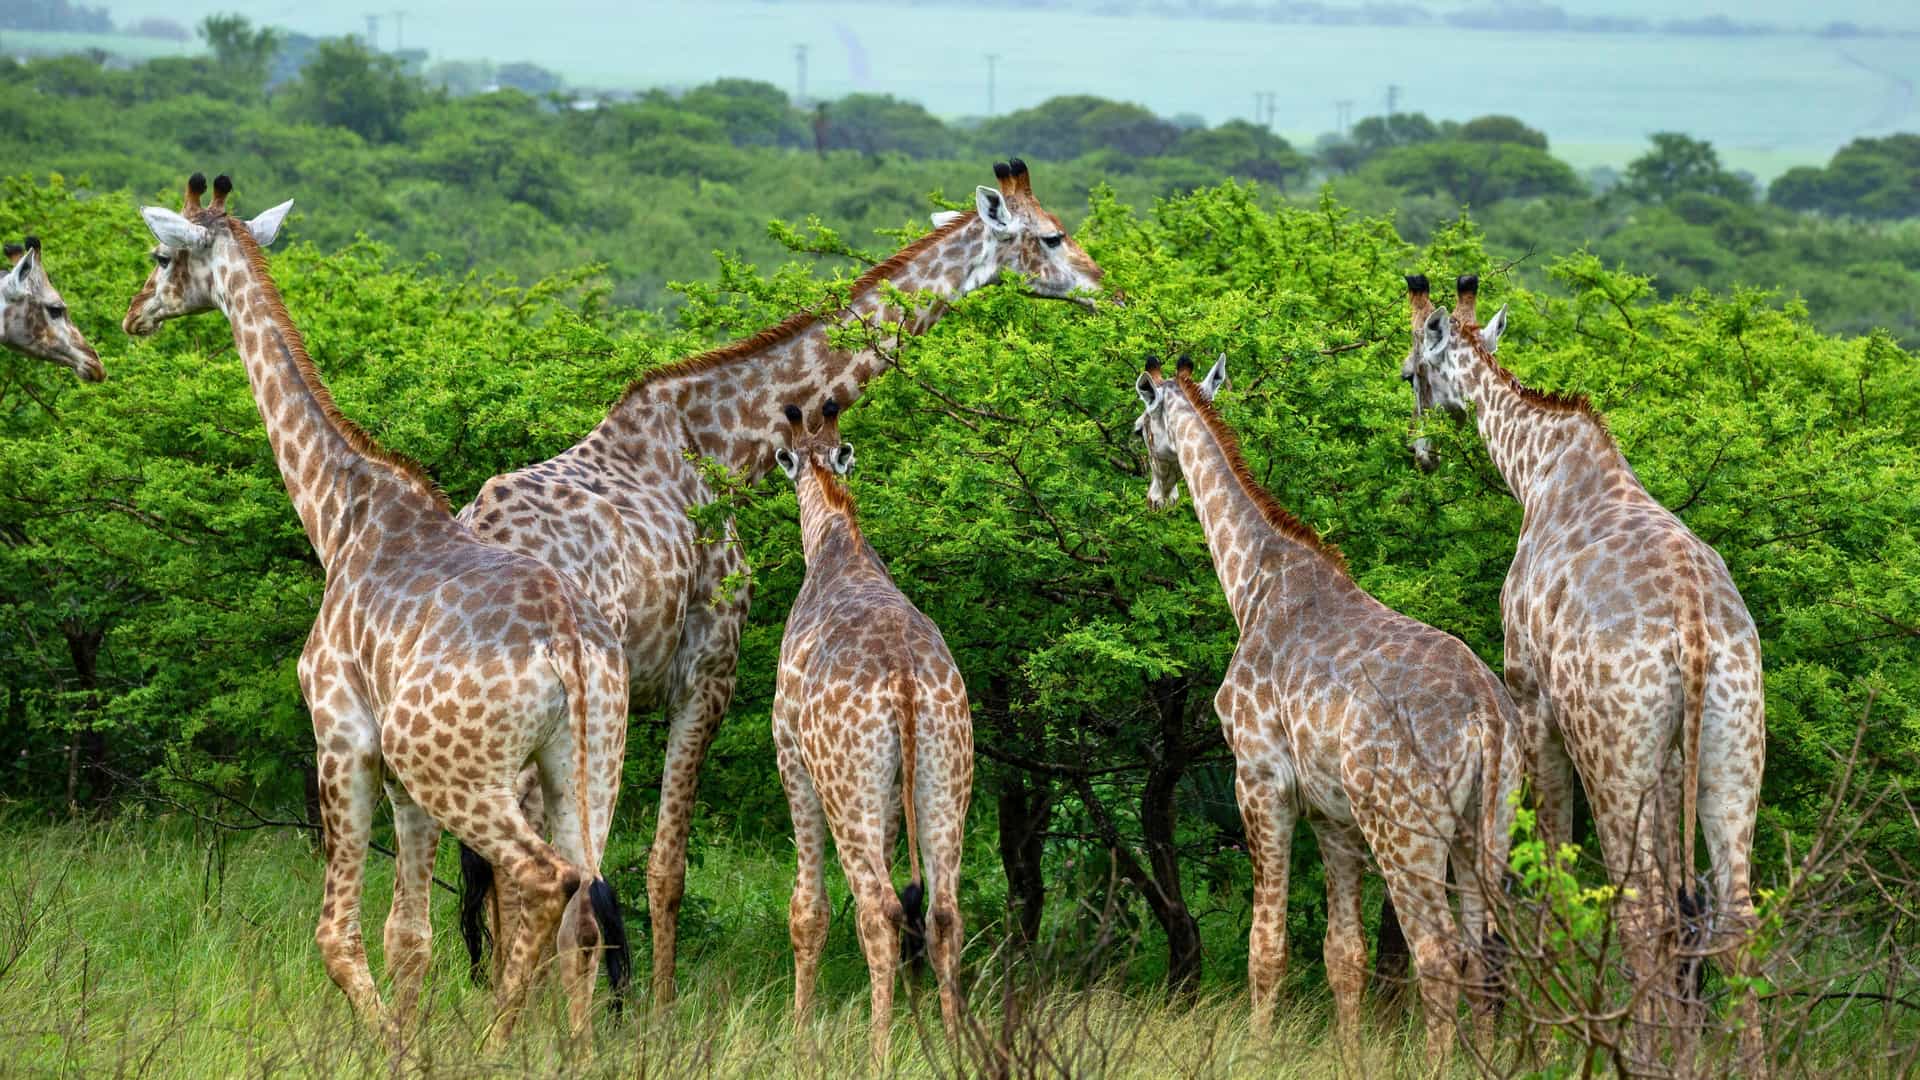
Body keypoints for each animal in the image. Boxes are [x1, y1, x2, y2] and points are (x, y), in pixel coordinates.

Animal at [121, 173, 632, 1046]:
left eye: (160, 256)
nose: (132, 315)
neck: (338, 516)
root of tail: (569, 645)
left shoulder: (345, 738)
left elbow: (336, 933)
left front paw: (392, 1043)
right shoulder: (403, 782)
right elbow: (410, 936)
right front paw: (409, 1039)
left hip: (458, 767)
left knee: (543, 880)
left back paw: (494, 1045)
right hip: (589, 763)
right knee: (586, 903)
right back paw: (575, 1049)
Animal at [771, 398, 972, 1067]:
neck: (836, 544)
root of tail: (906, 679)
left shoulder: (790, 756)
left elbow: (808, 909)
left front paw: (799, 1039)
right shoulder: (888, 791)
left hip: (845, 786)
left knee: (878, 909)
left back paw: (877, 1054)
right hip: (944, 772)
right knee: (941, 913)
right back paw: (955, 1051)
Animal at [1133, 354, 1521, 1072]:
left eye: (1139, 426)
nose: (1155, 493)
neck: (1250, 584)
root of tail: (1487, 716)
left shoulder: (1259, 778)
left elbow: (1266, 946)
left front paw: (1256, 1056)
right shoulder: (1332, 814)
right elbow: (1345, 955)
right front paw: (1350, 1061)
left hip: (1404, 825)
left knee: (1438, 952)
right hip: (1489, 824)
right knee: (1488, 952)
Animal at [1401, 273, 1766, 1064]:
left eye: (1411, 372)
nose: (1420, 450)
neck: (1536, 471)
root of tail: (1695, 628)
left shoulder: (1530, 698)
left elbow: (1550, 873)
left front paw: (1543, 1045)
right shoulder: (1669, 757)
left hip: (1612, 749)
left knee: (1644, 909)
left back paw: (1631, 1054)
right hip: (1732, 740)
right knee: (1729, 915)